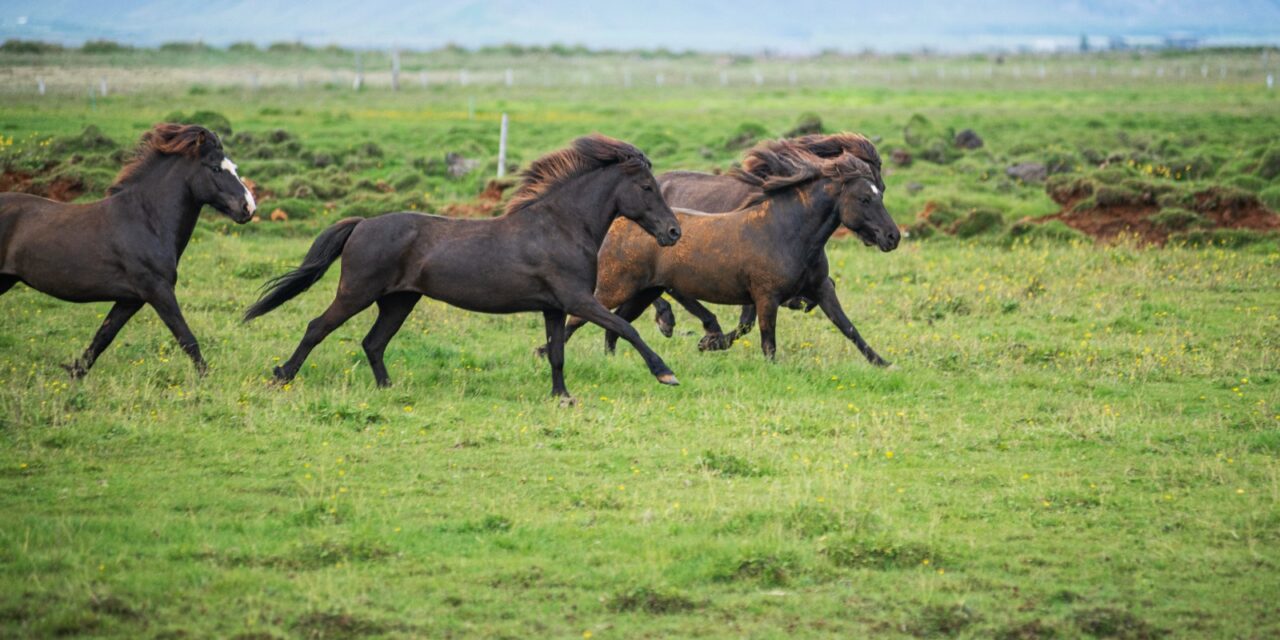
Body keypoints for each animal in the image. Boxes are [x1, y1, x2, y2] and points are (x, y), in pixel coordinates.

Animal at [0, 122, 257, 376]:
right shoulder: (157, 290)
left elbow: (102, 338)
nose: (249, 208)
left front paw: (75, 373)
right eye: (215, 168)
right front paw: (206, 380)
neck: (146, 221)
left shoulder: (130, 299)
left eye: (233, 167)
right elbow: (187, 338)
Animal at [240, 133, 680, 404]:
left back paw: (389, 389)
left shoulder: (554, 306)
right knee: (318, 327)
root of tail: (362, 224)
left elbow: (556, 352)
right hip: (357, 293)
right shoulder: (578, 300)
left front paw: (562, 396)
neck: (561, 227)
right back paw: (281, 376)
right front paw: (665, 373)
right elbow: (624, 327)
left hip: (399, 301)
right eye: (646, 187)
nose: (674, 231)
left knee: (373, 343)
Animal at [550, 138, 901, 371]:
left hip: (644, 292)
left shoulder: (821, 288)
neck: (787, 232)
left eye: (880, 192)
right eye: (864, 198)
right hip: (617, 287)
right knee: (583, 316)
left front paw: (883, 362)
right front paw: (720, 347)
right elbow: (766, 339)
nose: (892, 237)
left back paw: (617, 358)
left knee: (618, 322)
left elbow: (848, 327)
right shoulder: (765, 296)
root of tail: (619, 223)